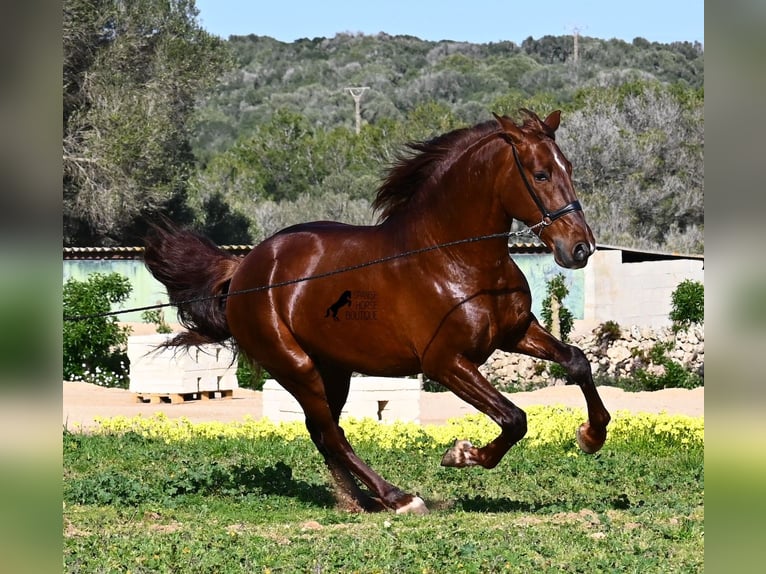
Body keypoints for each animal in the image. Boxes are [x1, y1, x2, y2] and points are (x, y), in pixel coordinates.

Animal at [144, 109, 612, 516]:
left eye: (569, 167)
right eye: (540, 174)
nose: (580, 248)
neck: (455, 259)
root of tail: (243, 269)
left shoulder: (516, 333)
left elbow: (577, 361)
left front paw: (592, 435)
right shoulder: (445, 363)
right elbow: (515, 418)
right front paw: (461, 454)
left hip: (333, 370)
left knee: (323, 433)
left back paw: (361, 500)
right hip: (297, 367)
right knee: (331, 433)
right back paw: (397, 497)